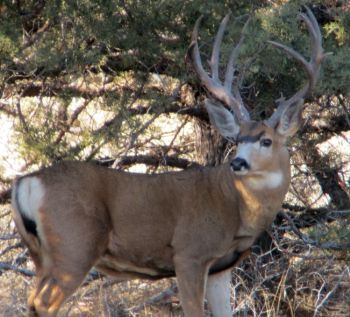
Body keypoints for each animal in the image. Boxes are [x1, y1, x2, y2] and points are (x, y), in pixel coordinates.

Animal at [11, 7, 328, 316]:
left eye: (266, 141)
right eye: (238, 139)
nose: (237, 163)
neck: (234, 206)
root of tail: (26, 182)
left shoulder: (221, 267)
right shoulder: (189, 252)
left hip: (41, 255)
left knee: (31, 300)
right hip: (74, 246)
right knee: (43, 304)